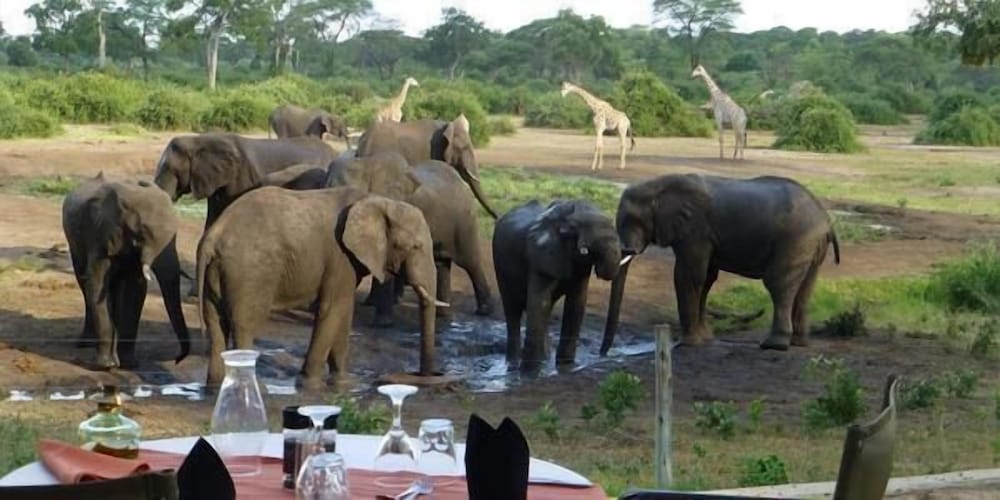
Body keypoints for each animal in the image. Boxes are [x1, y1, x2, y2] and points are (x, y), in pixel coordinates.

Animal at [62, 172, 191, 369]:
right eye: (143, 233)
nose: (177, 359)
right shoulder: (99, 235)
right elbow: (97, 285)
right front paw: (106, 366)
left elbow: (135, 290)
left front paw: (129, 364)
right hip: (75, 244)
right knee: (85, 284)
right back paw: (86, 344)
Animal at [196, 186, 442, 389]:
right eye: (416, 247)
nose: (425, 377)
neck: (379, 201)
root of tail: (213, 236)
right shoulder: (341, 256)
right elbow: (333, 308)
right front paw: (310, 384)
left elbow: (344, 312)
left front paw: (344, 382)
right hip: (250, 273)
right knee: (245, 326)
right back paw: (257, 389)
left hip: (217, 273)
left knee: (215, 324)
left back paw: (216, 386)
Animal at [324, 152, 493, 325]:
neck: (366, 165)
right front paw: (371, 304)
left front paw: (382, 323)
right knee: (442, 264)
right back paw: (443, 315)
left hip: (464, 221)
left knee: (470, 262)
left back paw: (484, 311)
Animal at [493, 200, 621, 369]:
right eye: (575, 226)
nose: (602, 356)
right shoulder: (541, 256)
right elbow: (539, 303)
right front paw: (530, 371)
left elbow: (576, 304)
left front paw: (566, 366)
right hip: (500, 266)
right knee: (512, 309)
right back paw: (513, 366)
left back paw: (544, 359)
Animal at [602, 174, 840, 354]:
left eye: (632, 221)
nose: (604, 353)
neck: (658, 185)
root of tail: (826, 219)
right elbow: (706, 279)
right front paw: (706, 339)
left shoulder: (695, 230)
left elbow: (689, 275)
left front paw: (687, 344)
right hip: (811, 246)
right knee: (805, 289)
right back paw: (799, 344)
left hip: (795, 240)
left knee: (778, 284)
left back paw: (773, 345)